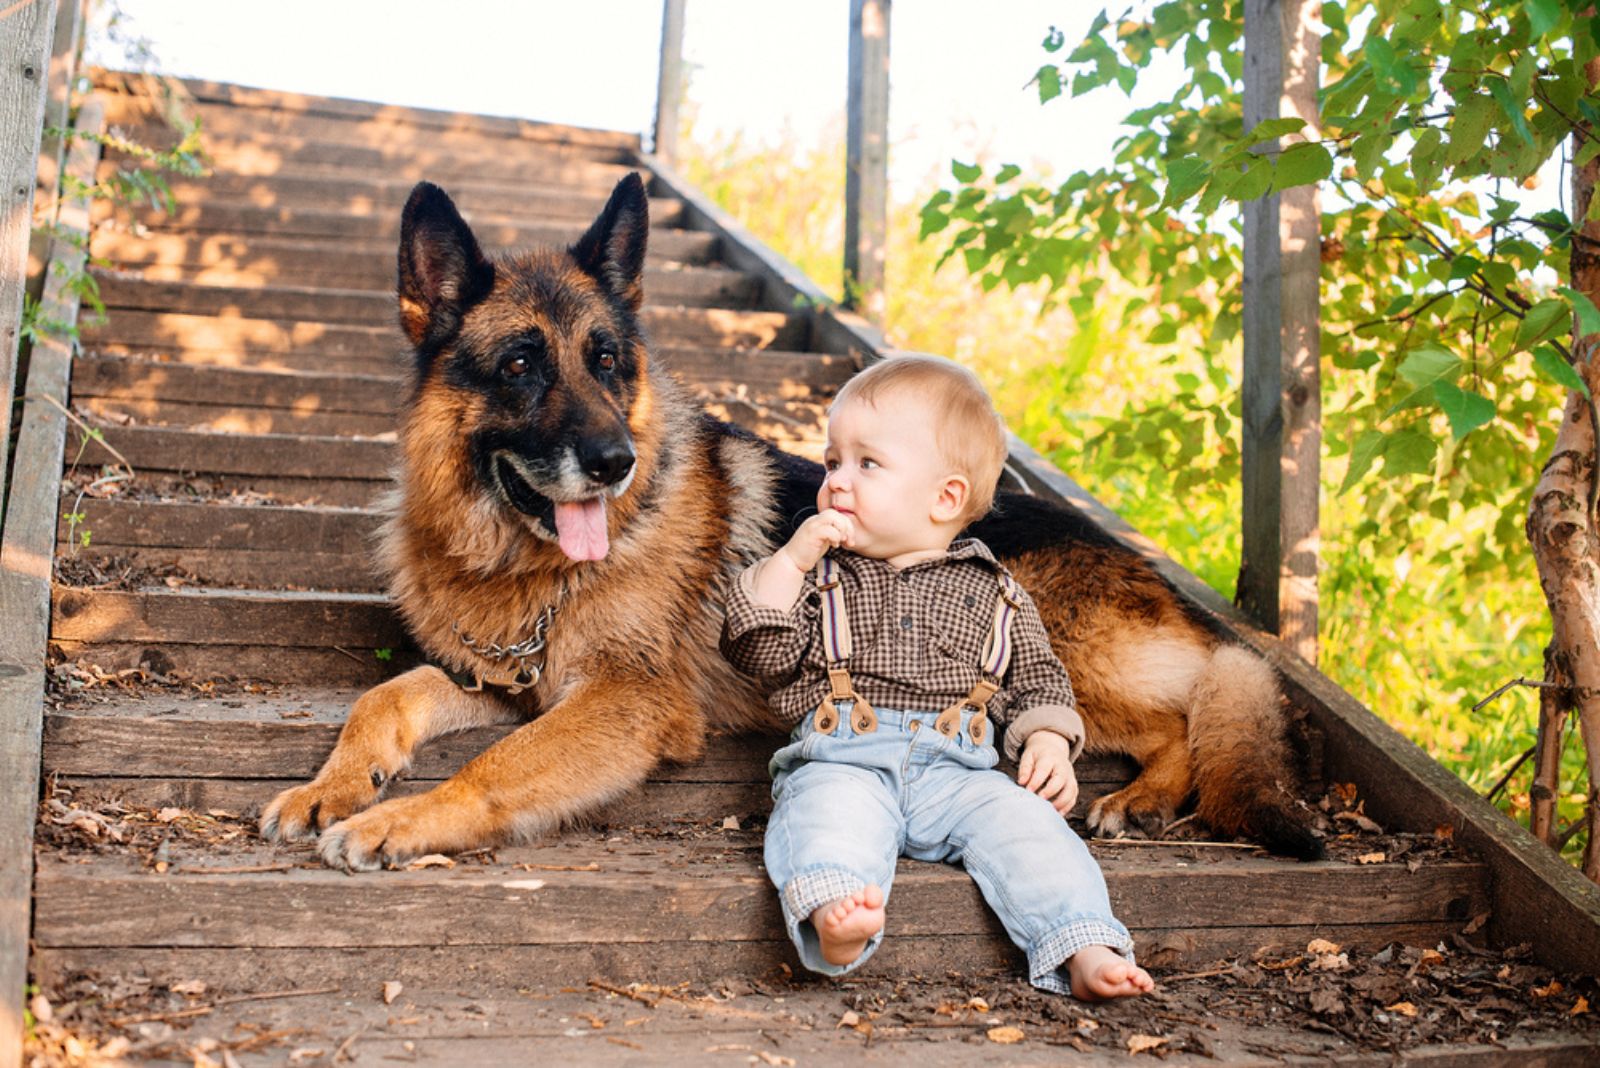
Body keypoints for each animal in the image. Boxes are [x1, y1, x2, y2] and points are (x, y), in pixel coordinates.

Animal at [256, 173, 1318, 869]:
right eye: (520, 364)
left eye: (607, 362)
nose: (615, 462)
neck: (527, 567)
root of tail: (1148, 575)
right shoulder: (508, 682)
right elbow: (383, 700)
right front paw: (329, 787)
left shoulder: (625, 704)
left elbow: (498, 768)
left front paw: (400, 820)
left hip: (1051, 648)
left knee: (1183, 715)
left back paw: (1143, 795)